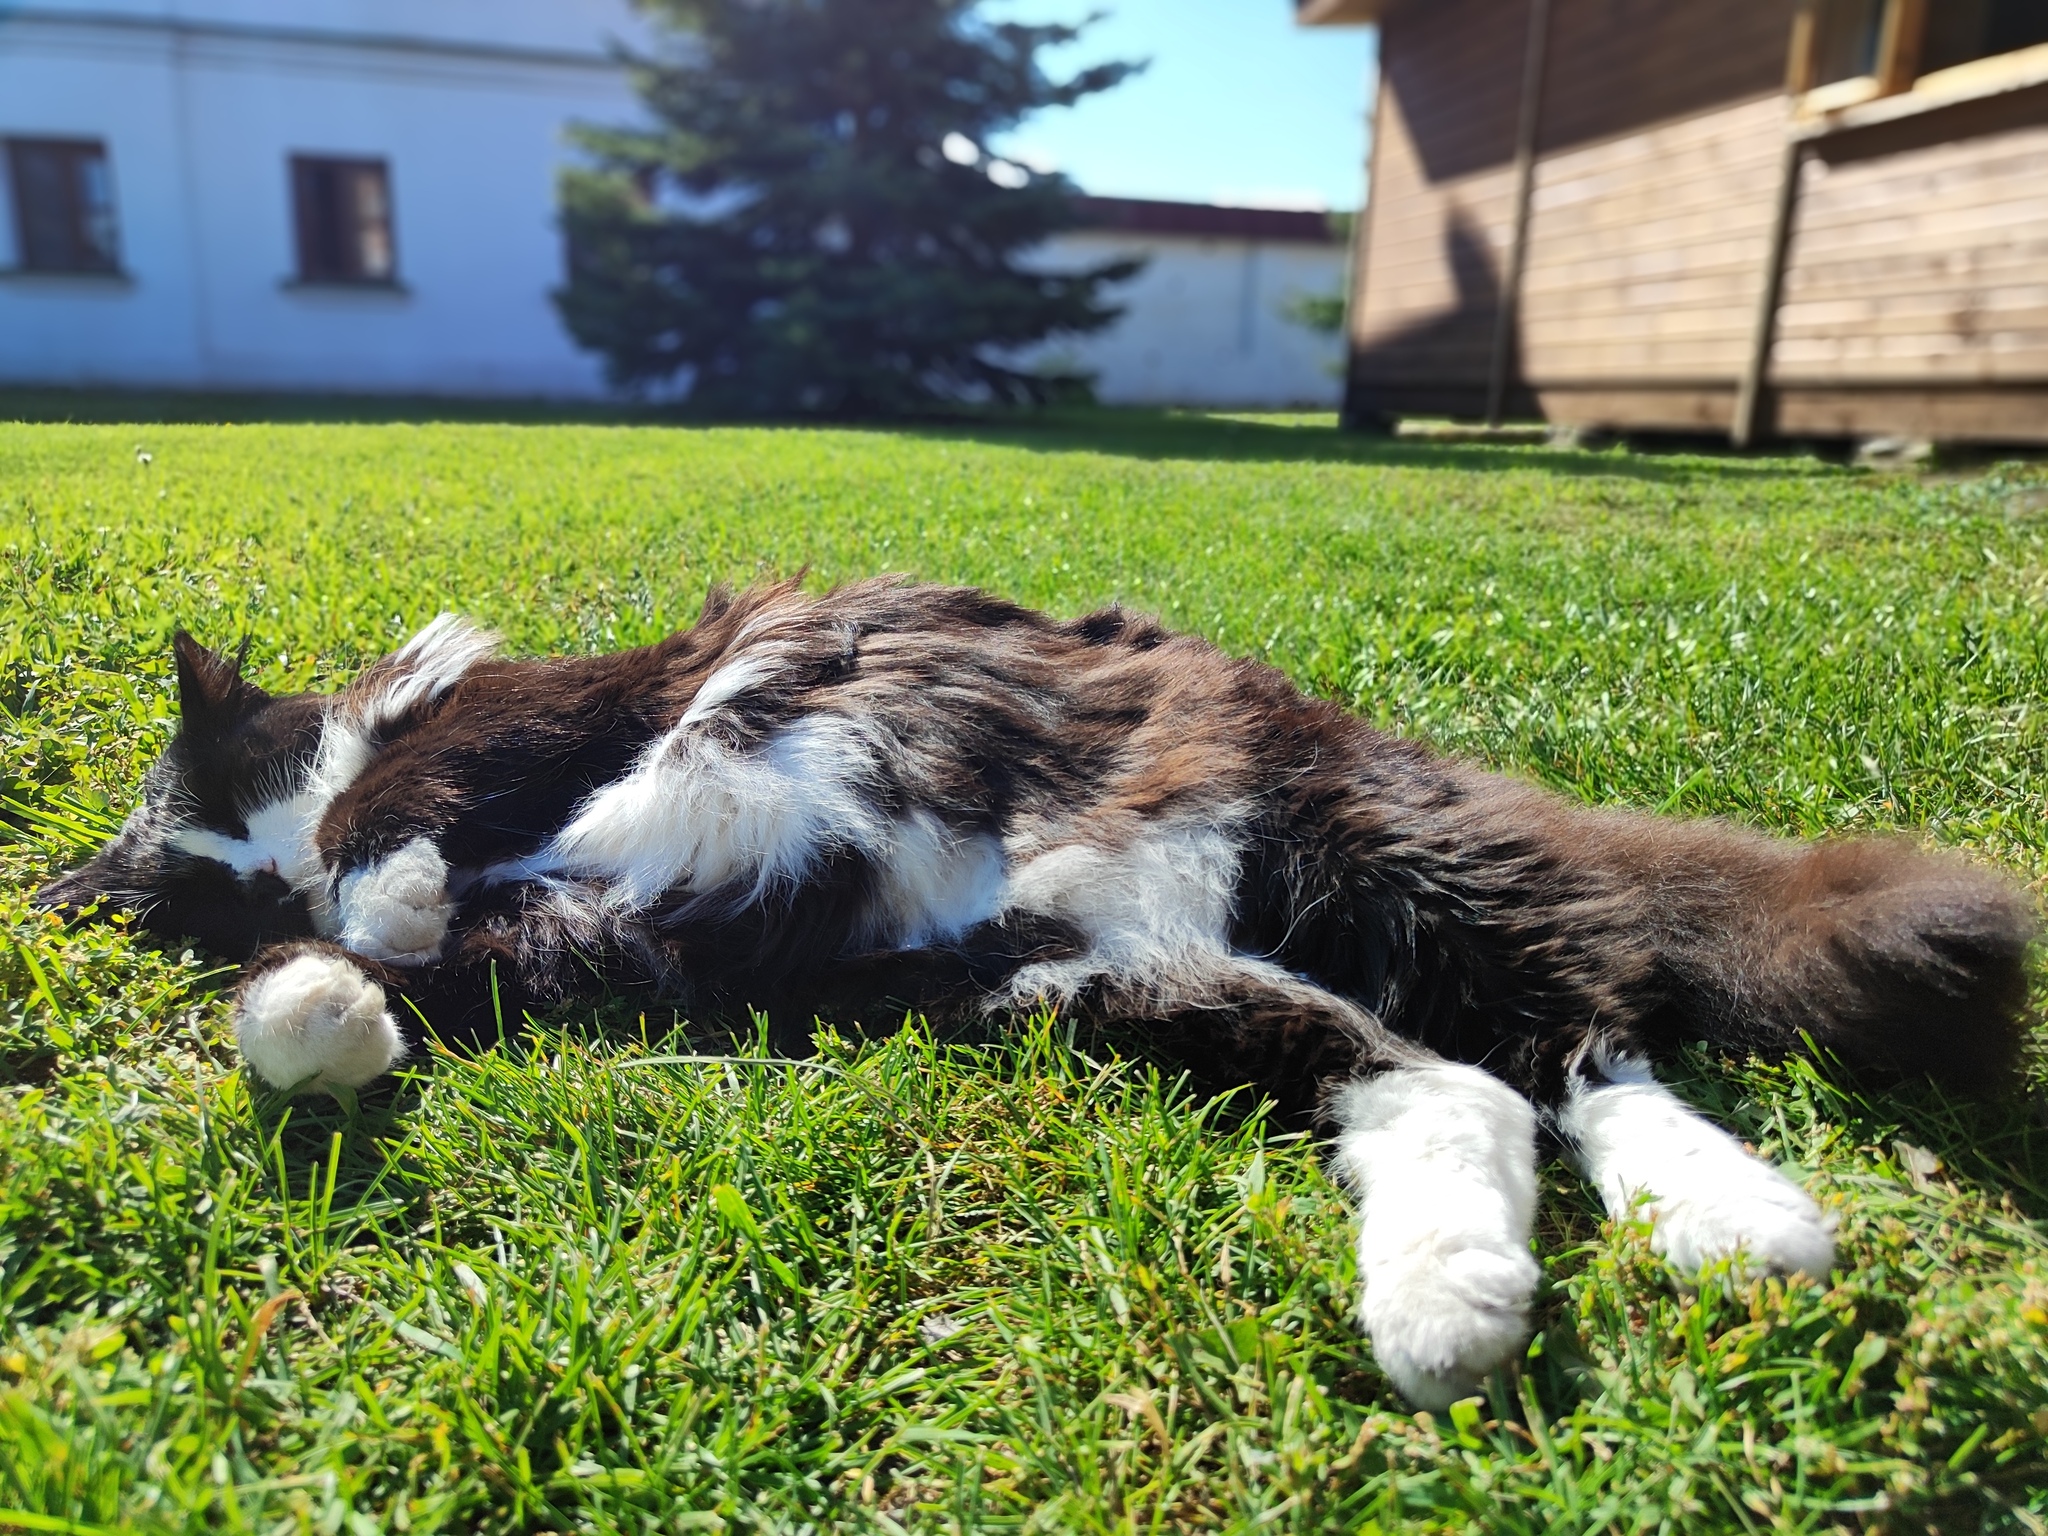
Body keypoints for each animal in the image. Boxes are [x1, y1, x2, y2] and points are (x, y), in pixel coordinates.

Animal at [36, 581, 2048, 1417]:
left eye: (228, 829)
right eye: (193, 905)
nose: (272, 889)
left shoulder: (560, 714)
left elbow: (417, 794)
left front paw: (367, 891)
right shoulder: (612, 946)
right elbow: (385, 986)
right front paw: (323, 1013)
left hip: (1363, 867)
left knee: (1589, 1031)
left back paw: (1733, 1225)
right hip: (1105, 984)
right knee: (1455, 1087)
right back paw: (1458, 1304)